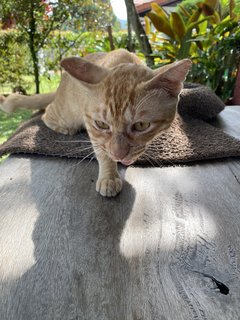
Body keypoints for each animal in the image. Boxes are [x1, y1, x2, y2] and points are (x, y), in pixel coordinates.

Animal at [0, 48, 191, 196]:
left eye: (141, 125)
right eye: (102, 125)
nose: (119, 154)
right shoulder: (91, 126)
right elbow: (103, 152)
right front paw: (109, 177)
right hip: (66, 114)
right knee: (45, 113)